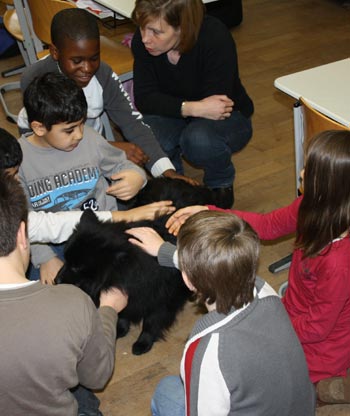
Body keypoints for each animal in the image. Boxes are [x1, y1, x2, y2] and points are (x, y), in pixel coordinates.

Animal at [55, 179, 213, 354]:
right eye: (66, 259)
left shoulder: (160, 296)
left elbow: (151, 321)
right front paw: (120, 327)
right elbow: (124, 313)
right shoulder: (128, 290)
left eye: (77, 267)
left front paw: (144, 341)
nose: (56, 280)